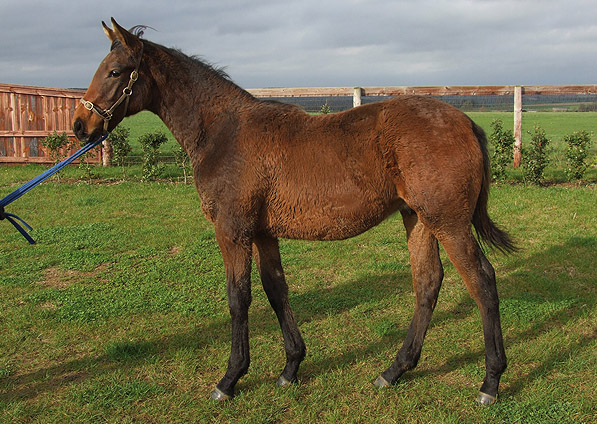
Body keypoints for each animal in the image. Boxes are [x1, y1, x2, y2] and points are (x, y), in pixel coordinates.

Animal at [72, 19, 516, 404]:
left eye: (114, 71)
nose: (79, 126)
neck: (223, 132)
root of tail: (465, 123)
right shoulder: (263, 232)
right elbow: (276, 289)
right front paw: (291, 368)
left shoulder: (232, 230)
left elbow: (239, 298)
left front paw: (230, 379)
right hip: (419, 218)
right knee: (427, 283)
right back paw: (393, 371)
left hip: (448, 223)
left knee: (482, 281)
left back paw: (490, 383)